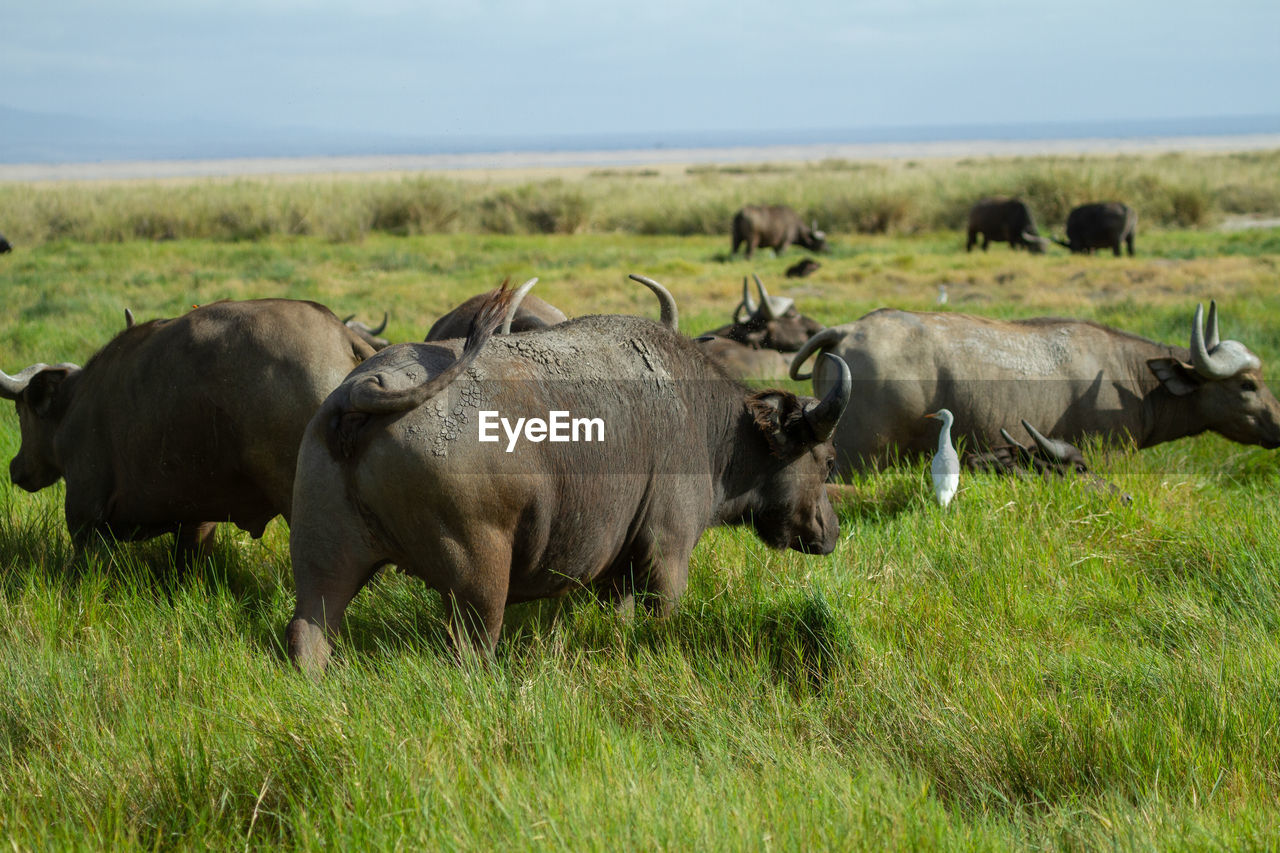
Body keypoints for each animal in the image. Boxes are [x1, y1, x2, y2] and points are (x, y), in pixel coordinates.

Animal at [0, 300, 376, 563]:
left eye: (21, 412)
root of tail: (342, 335)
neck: (74, 405)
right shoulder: (196, 521)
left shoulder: (84, 513)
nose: (15, 468)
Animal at [285, 274, 855, 671]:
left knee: (308, 635)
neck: (708, 423)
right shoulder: (668, 553)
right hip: (478, 576)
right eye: (827, 460)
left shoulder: (616, 573)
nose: (830, 532)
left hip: (321, 562)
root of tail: (363, 390)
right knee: (471, 649)